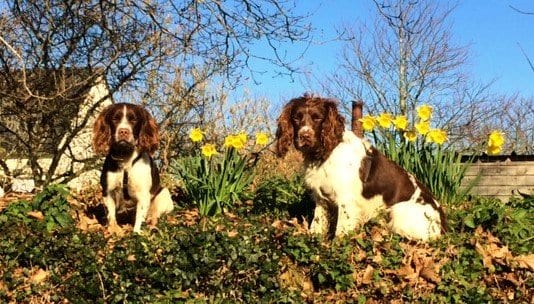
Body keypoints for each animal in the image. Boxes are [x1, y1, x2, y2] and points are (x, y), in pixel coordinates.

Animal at [92, 102, 174, 233]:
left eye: (134, 120)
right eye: (115, 119)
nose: (123, 131)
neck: (126, 158)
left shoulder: (143, 194)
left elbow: (139, 218)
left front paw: (136, 233)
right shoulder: (108, 191)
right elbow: (111, 216)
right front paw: (113, 230)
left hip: (164, 195)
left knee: (155, 215)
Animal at [276, 94, 448, 241]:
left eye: (317, 117)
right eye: (296, 117)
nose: (304, 136)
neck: (325, 153)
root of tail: (442, 224)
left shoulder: (346, 200)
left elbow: (341, 231)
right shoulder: (321, 198)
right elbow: (317, 224)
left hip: (398, 212)